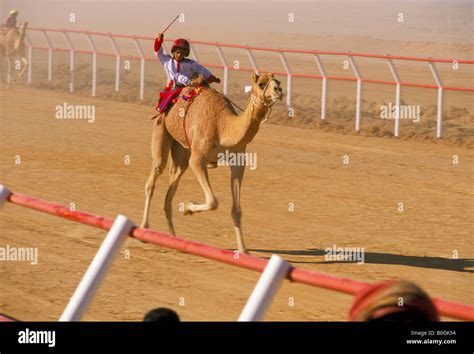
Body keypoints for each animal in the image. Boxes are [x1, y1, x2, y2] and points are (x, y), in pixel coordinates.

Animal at [139, 72, 284, 254]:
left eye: (279, 82)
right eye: (261, 84)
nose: (279, 91)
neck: (223, 127)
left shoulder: (238, 161)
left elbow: (236, 210)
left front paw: (243, 251)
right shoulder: (198, 159)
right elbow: (213, 201)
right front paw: (189, 207)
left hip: (183, 149)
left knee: (173, 182)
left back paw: (174, 238)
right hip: (161, 129)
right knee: (154, 177)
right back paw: (144, 229)